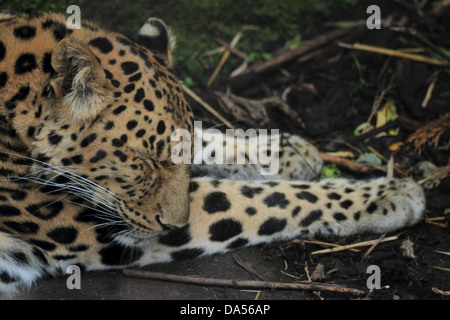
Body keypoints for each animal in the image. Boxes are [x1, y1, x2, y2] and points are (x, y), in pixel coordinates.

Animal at [0, 12, 426, 298]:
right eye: (142, 162)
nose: (172, 225)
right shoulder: (90, 224)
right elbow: (267, 198)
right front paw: (389, 195)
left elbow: (208, 138)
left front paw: (285, 150)